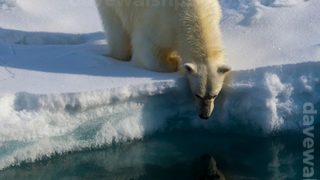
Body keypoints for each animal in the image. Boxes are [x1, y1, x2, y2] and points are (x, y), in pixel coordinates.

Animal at [95, 0, 230, 119]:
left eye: (214, 95)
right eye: (197, 94)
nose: (204, 115)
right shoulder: (162, 21)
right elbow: (147, 48)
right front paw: (175, 61)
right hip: (114, 5)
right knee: (117, 31)